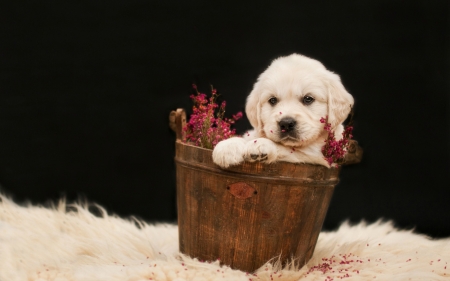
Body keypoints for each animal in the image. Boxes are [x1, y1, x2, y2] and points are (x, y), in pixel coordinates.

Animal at [213, 53, 354, 167]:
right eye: (272, 100)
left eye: (308, 99)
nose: (286, 124)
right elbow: (250, 136)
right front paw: (228, 146)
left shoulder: (318, 156)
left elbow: (288, 150)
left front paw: (261, 144)